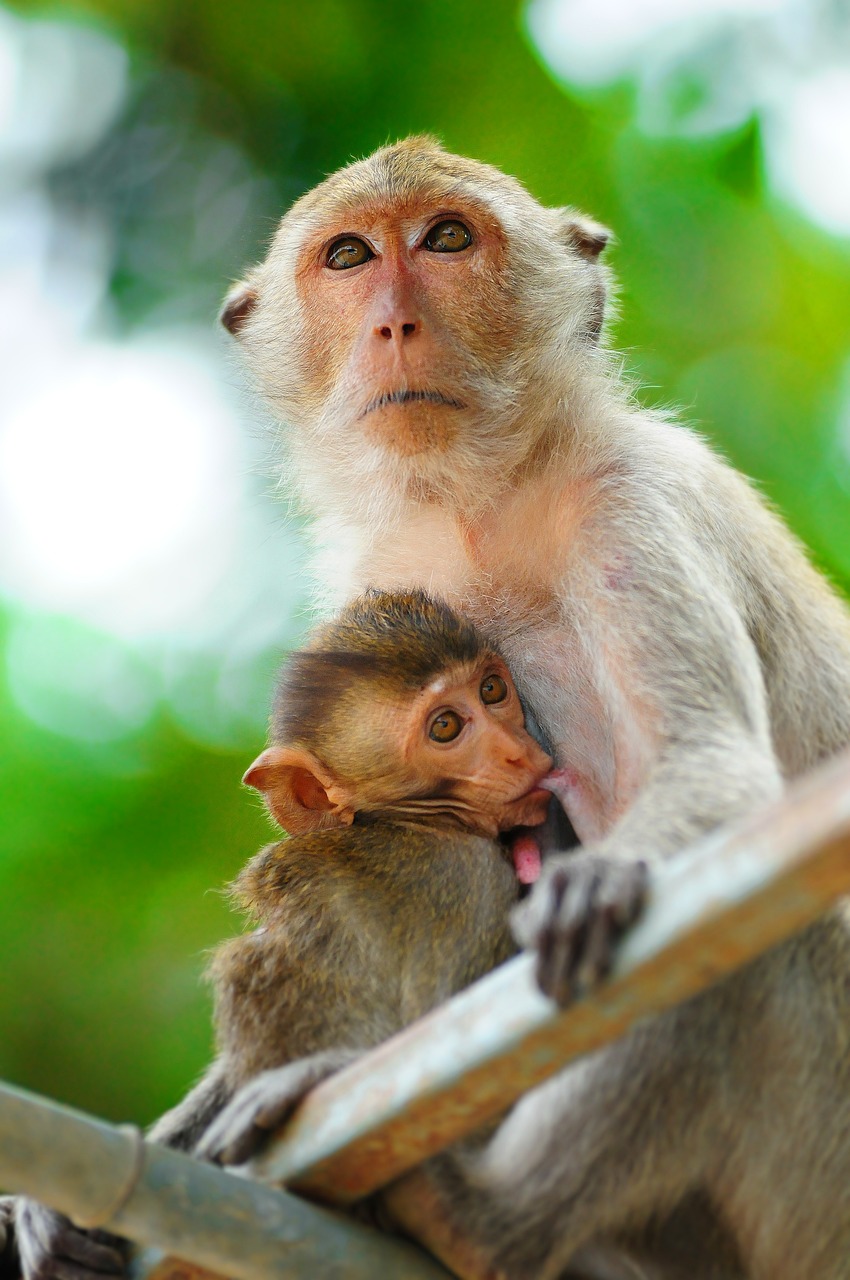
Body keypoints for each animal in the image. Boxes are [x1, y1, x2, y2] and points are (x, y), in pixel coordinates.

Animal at [216, 135, 850, 1274]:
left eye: (446, 239)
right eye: (348, 257)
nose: (395, 322)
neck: (481, 507)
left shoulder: (633, 501)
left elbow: (715, 773)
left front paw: (589, 883)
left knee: (752, 937)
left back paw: (483, 1219)